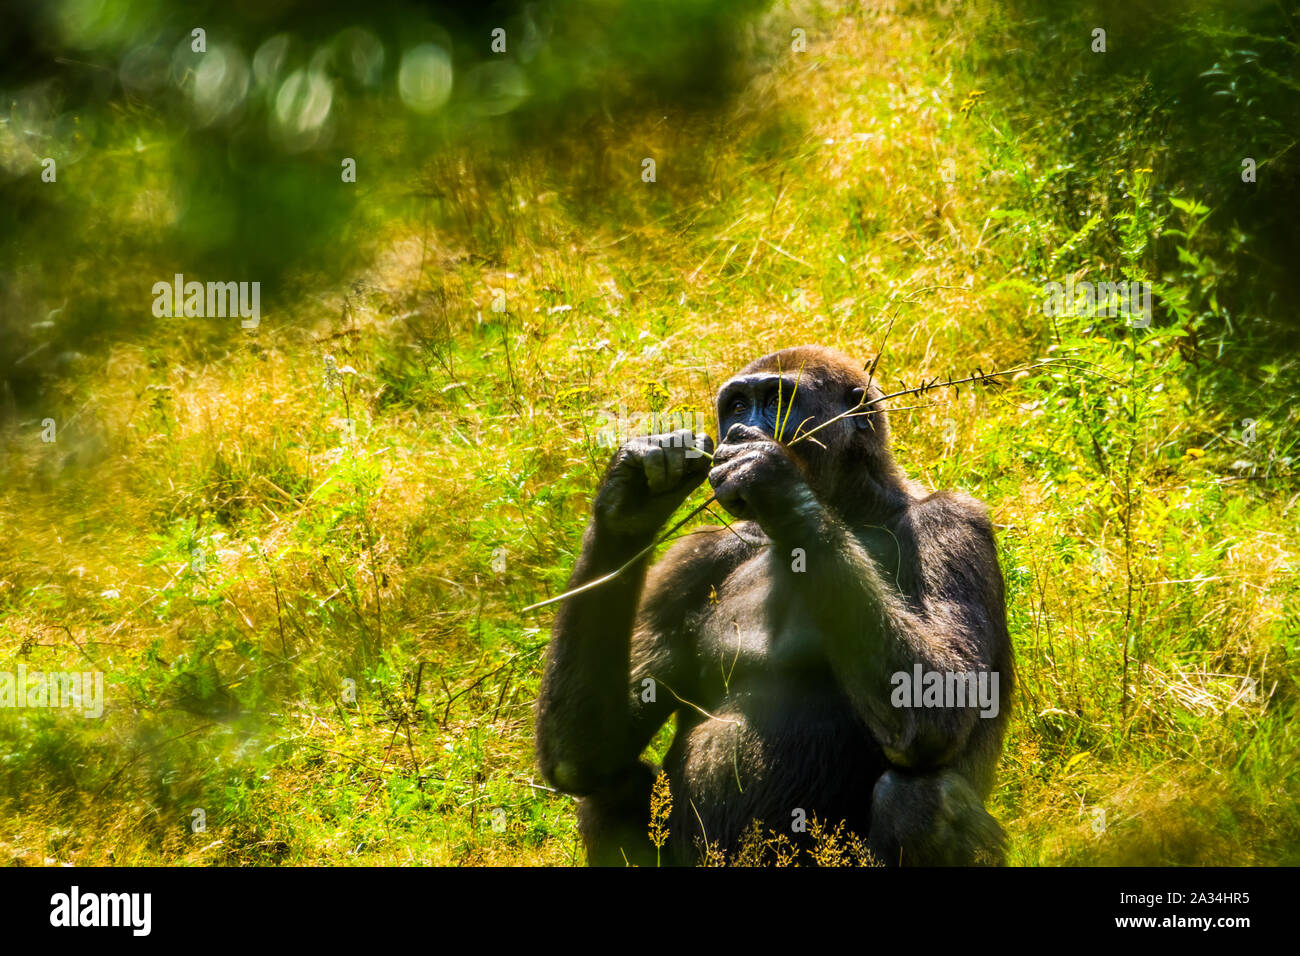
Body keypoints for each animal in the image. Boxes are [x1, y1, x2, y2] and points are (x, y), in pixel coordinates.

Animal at [533, 345, 1008, 868]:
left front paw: (772, 480)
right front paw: (629, 498)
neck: (853, 505)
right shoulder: (695, 557)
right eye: (738, 406)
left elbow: (937, 704)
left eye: (779, 400)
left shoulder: (953, 523)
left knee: (919, 797)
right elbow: (586, 756)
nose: (742, 430)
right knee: (605, 789)